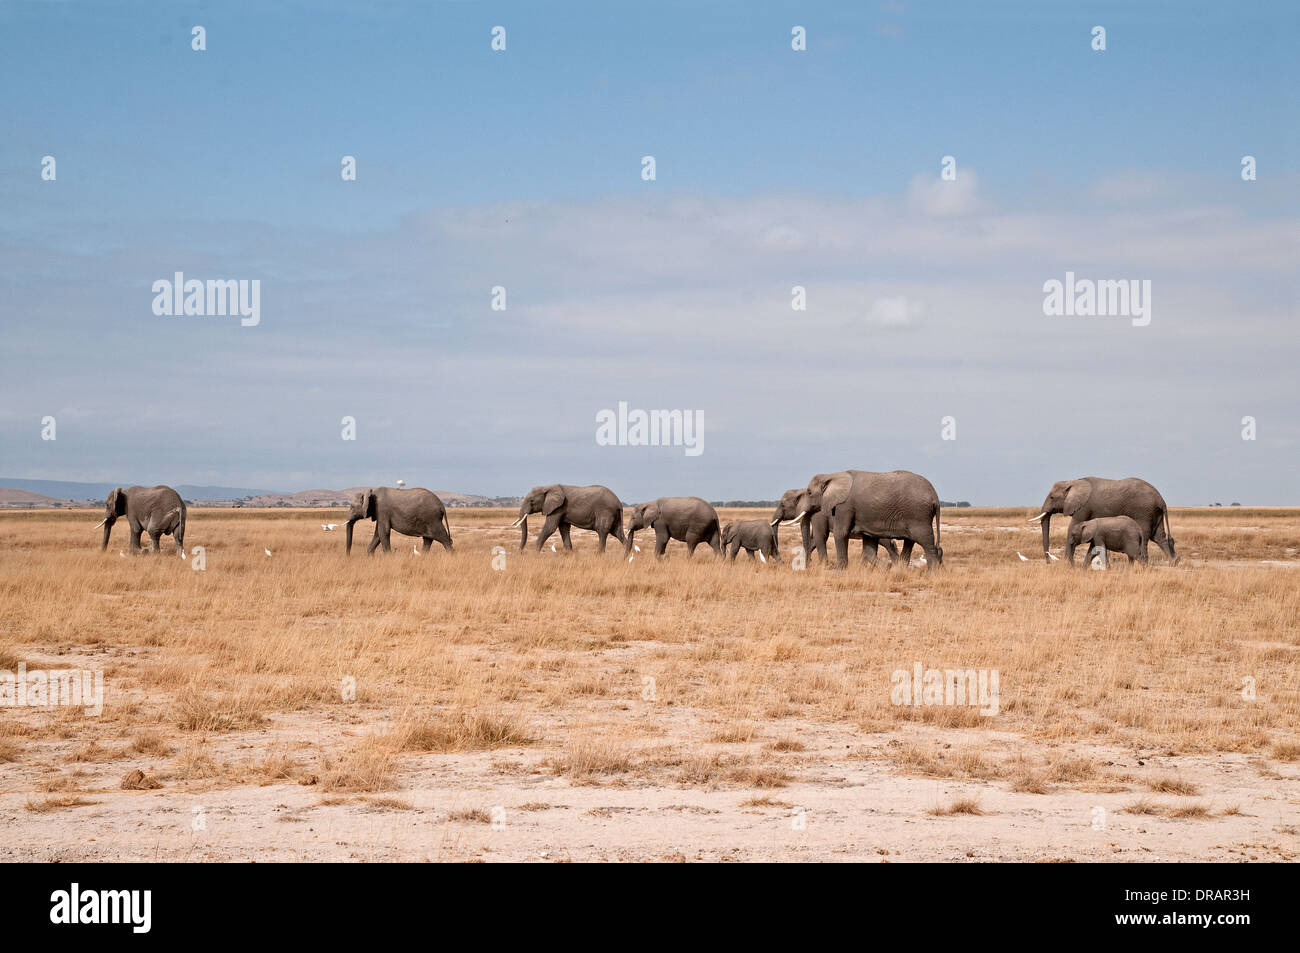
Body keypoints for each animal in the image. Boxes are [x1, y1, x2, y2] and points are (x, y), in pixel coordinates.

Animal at [764, 491, 899, 564]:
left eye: (782, 505)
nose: (782, 561)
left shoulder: (819, 514)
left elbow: (820, 536)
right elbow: (814, 540)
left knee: (887, 543)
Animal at [800, 465, 946, 564]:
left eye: (809, 492)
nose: (809, 563)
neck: (832, 476)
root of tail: (935, 495)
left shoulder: (844, 505)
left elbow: (840, 533)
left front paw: (840, 572)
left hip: (918, 515)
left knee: (926, 542)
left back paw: (931, 574)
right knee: (910, 542)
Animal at [1024, 478, 1180, 561]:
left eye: (1052, 497)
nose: (1049, 562)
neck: (1072, 482)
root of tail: (1161, 499)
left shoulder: (1083, 507)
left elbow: (1073, 526)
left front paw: (1067, 563)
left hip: (1143, 511)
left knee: (1146, 535)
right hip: (1154, 512)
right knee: (1159, 537)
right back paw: (1174, 562)